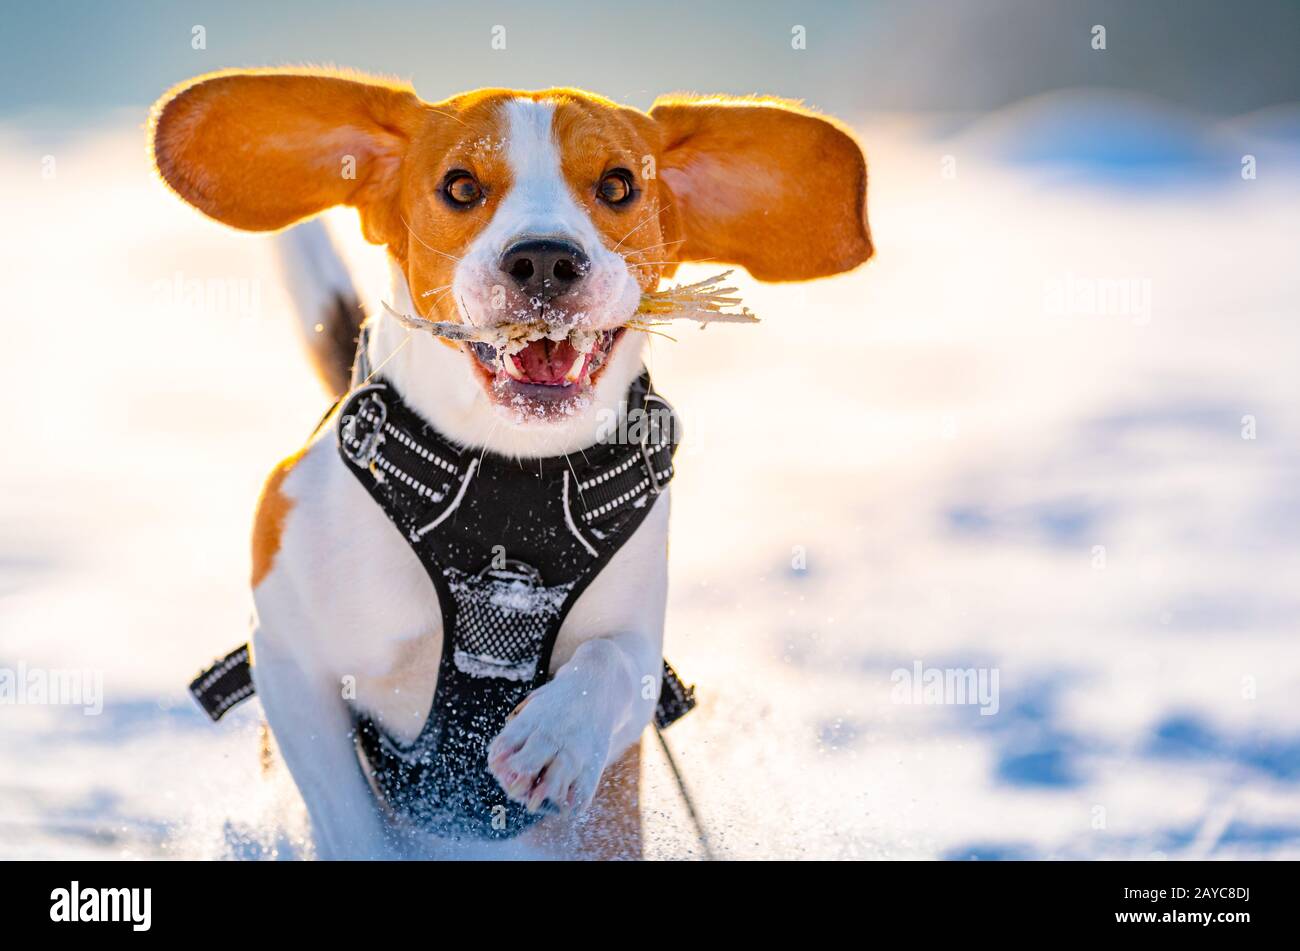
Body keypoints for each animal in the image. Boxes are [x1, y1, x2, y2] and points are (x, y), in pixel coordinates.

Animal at [147, 70, 868, 857]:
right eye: (460, 187)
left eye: (618, 185)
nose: (545, 259)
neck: (509, 474)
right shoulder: (288, 657)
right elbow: (346, 811)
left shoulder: (641, 635)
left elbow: (615, 662)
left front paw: (557, 736)